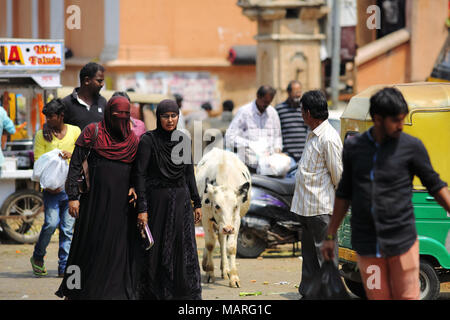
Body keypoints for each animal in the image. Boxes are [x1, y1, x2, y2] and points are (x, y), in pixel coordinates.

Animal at [197, 148, 253, 288]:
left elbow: (231, 247)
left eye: (235, 205)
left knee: (222, 241)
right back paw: (206, 263)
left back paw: (225, 269)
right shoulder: (205, 217)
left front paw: (234, 277)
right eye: (217, 205)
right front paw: (210, 272)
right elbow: (210, 244)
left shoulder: (236, 221)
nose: (228, 229)